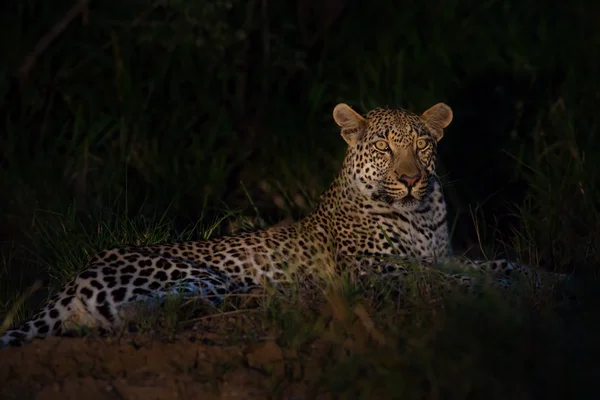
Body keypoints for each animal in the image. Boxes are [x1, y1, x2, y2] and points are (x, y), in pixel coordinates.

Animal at [0, 102, 564, 346]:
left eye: (422, 144)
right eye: (384, 147)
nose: (409, 179)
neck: (421, 214)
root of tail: (72, 279)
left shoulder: (441, 255)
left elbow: (494, 263)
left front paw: (551, 276)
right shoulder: (385, 272)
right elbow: (459, 279)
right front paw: (514, 286)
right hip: (194, 275)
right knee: (161, 310)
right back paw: (291, 294)